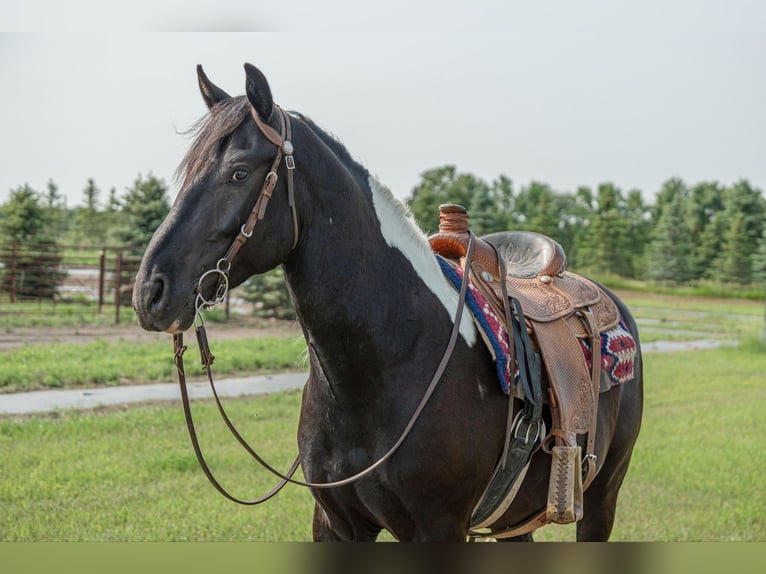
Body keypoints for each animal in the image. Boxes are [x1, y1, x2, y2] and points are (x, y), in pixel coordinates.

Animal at [135, 64, 644, 544]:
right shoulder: (336, 524)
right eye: (187, 173)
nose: (149, 291)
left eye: (238, 172)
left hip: (603, 497)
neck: (389, 361)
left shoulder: (438, 528)